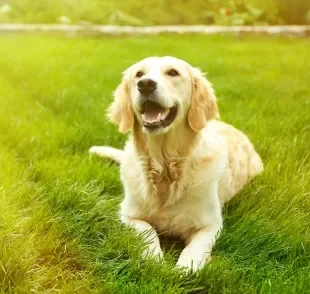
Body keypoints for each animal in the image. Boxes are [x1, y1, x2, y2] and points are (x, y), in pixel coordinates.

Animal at [90, 56, 264, 274]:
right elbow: (148, 232)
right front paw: (155, 260)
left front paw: (182, 270)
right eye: (139, 74)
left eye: (173, 72)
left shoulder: (210, 225)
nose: (145, 84)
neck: (165, 167)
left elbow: (194, 250)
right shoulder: (129, 216)